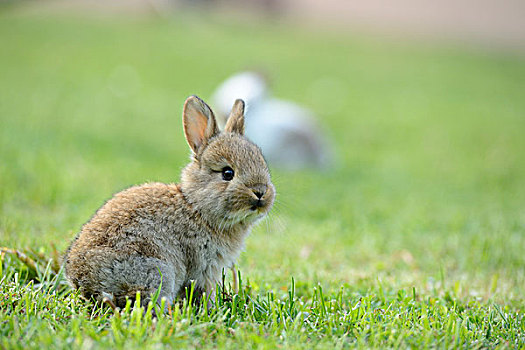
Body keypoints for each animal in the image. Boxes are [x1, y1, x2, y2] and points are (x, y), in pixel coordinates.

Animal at [64, 95, 274, 308]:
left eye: (262, 164)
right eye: (227, 173)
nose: (261, 192)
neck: (196, 207)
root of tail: (85, 281)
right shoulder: (204, 267)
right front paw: (210, 308)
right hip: (157, 271)